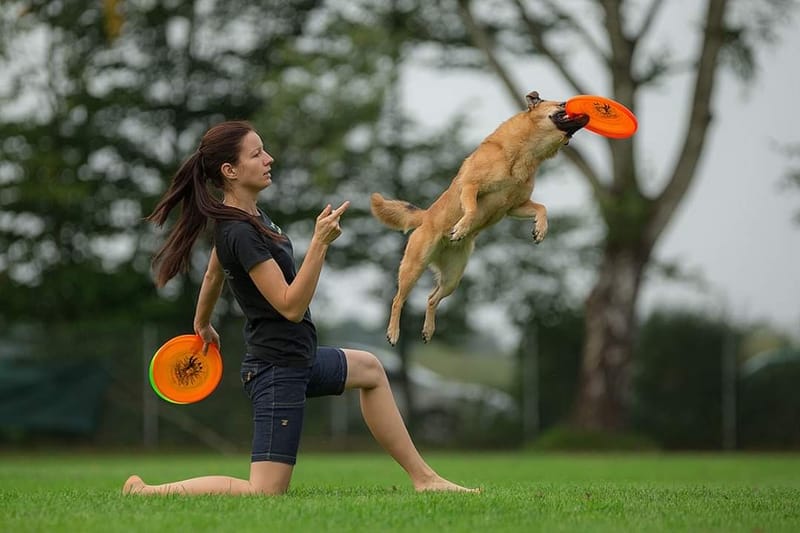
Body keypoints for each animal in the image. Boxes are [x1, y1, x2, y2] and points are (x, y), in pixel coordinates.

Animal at [368, 91, 588, 344]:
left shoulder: (514, 206)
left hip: (452, 278)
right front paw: (462, 228)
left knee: (432, 299)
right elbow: (472, 210)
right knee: (398, 300)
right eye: (562, 104)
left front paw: (540, 229)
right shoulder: (470, 188)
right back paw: (393, 333)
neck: (526, 153)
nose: (586, 112)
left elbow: (542, 208)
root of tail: (425, 217)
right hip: (414, 267)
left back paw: (428, 330)